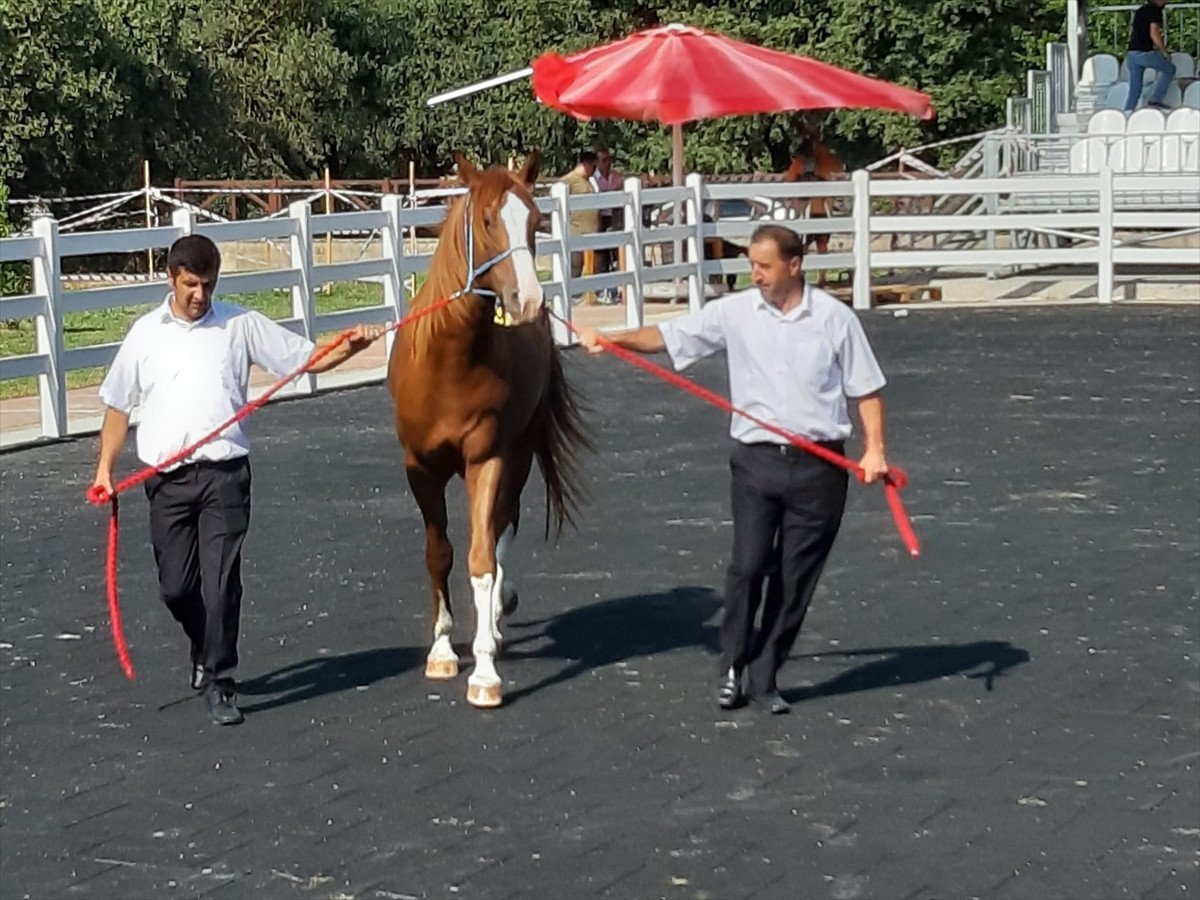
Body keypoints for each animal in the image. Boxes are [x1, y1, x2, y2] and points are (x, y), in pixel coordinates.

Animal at [386, 151, 588, 710]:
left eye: (537, 220)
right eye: (488, 220)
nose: (528, 300)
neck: (448, 363)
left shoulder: (487, 459)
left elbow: (480, 559)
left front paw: (484, 671)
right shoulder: (420, 468)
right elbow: (439, 553)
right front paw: (441, 651)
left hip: (518, 455)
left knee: (501, 529)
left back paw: (496, 618)